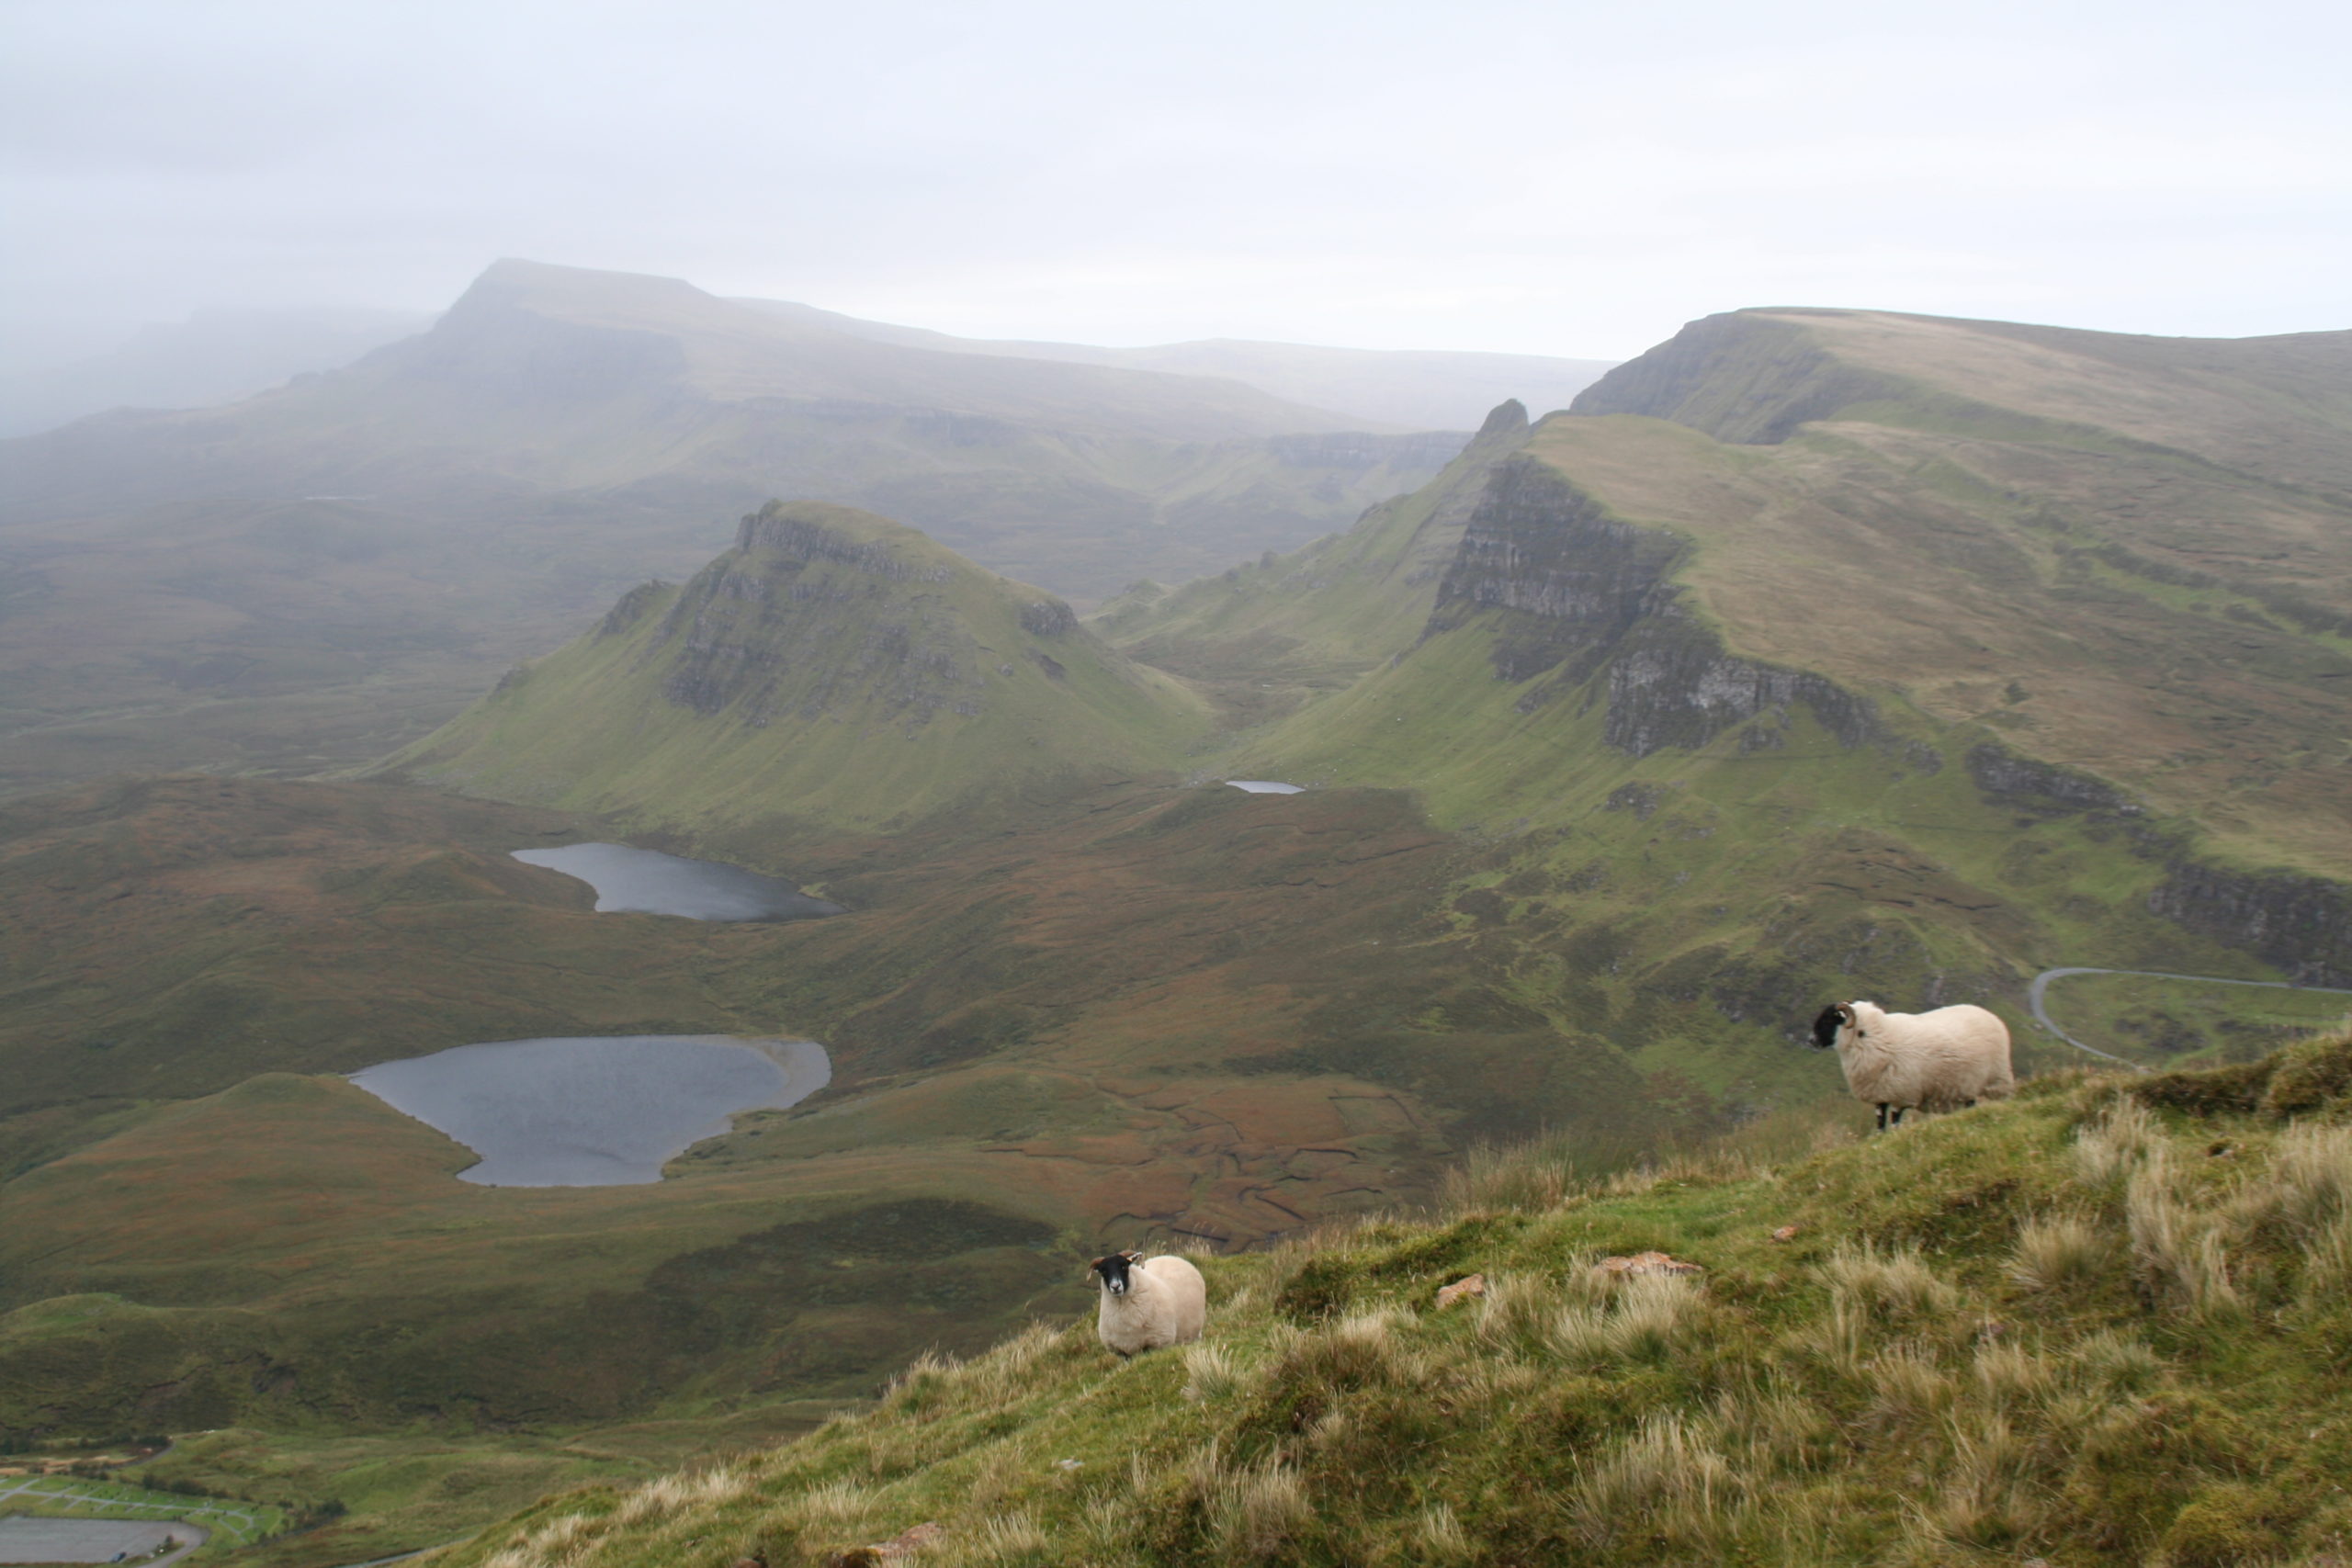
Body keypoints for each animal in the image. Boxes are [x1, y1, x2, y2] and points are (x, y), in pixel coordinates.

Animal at [1086, 1250, 1204, 1363]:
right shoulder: (1124, 1351)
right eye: (1103, 1271)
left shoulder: (1159, 1342)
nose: (1115, 1286)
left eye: (1124, 1266)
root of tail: (1173, 1257)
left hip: (1191, 1333)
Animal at [1806, 1001, 2013, 1133]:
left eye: (1828, 1020)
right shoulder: (1880, 1094)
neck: (1873, 1037)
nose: (1811, 1040)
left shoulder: (1902, 1092)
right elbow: (1880, 1123)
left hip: (1992, 1077)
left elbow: (1895, 1121)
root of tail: (1990, 1015)